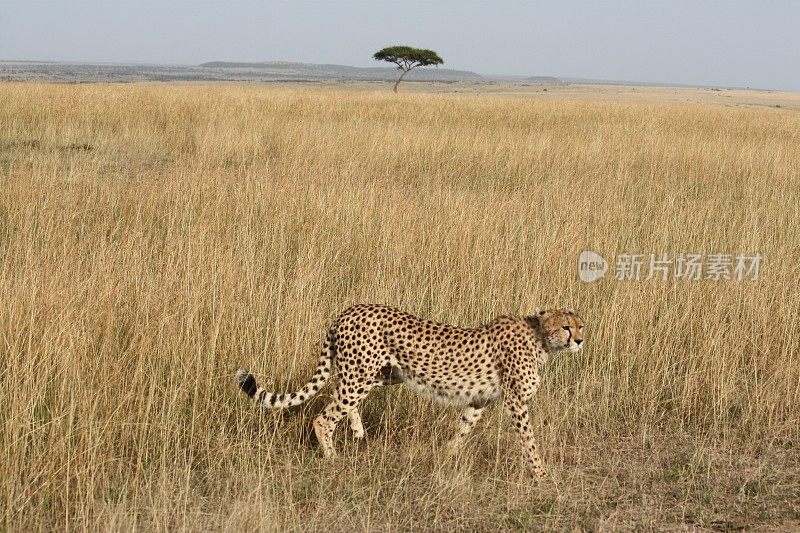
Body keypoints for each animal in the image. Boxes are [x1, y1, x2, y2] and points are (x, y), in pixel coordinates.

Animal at [234, 304, 584, 478]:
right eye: (566, 327)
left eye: (581, 325)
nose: (580, 340)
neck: (541, 339)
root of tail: (349, 310)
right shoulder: (515, 401)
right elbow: (529, 439)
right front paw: (540, 473)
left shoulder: (479, 399)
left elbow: (463, 429)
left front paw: (447, 456)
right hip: (361, 374)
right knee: (324, 417)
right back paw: (333, 458)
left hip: (380, 374)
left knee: (338, 394)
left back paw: (358, 431)